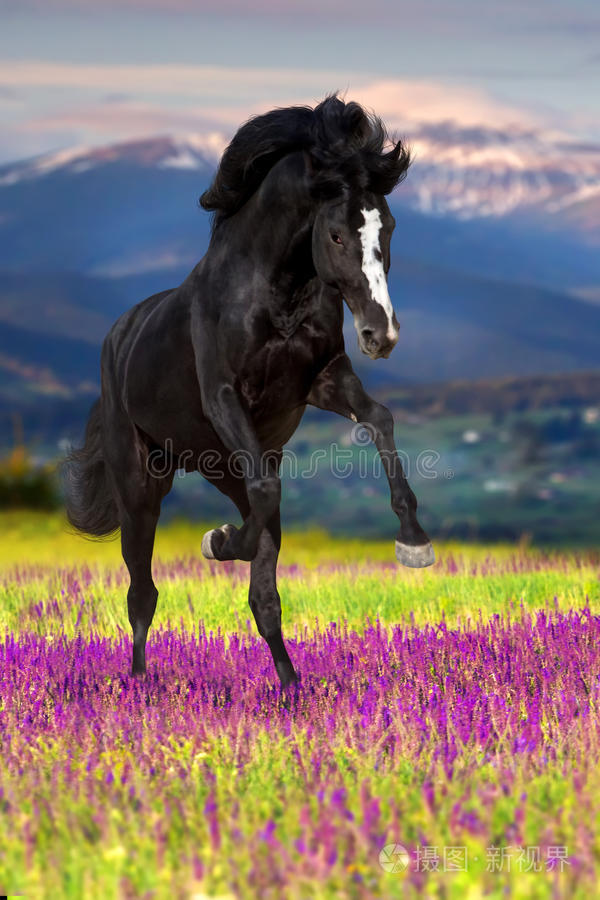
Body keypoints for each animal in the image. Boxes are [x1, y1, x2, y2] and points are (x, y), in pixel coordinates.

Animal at [63, 95, 435, 688]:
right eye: (336, 234)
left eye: (389, 230)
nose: (382, 335)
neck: (275, 292)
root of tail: (118, 336)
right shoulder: (223, 395)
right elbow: (263, 491)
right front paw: (217, 542)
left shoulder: (323, 380)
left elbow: (379, 418)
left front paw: (414, 541)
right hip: (141, 486)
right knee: (142, 592)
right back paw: (140, 684)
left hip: (218, 465)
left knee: (263, 591)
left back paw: (290, 688)